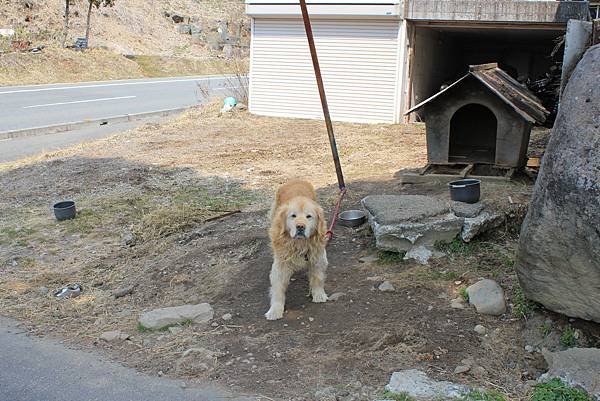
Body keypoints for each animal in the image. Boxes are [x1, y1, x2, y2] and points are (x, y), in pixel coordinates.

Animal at [264, 180, 326, 320]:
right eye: (293, 216)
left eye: (309, 216)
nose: (300, 227)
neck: (299, 244)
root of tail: (295, 180)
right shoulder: (280, 264)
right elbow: (278, 288)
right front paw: (275, 310)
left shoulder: (317, 256)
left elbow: (317, 276)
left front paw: (319, 294)